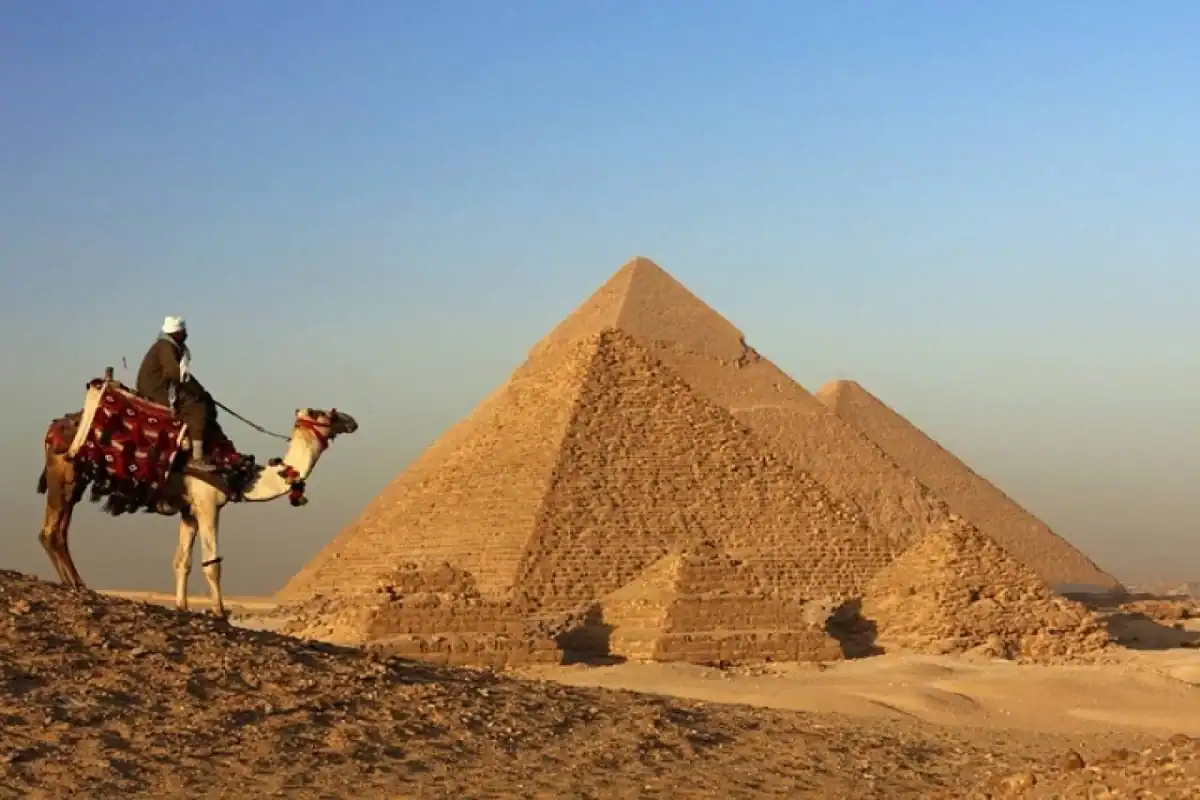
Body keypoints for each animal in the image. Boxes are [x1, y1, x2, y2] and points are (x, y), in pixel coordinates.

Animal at [36, 374, 359, 619]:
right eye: (323, 413)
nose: (351, 420)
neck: (239, 474)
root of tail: (54, 426)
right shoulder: (207, 506)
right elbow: (212, 563)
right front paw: (220, 613)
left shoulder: (189, 511)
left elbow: (182, 561)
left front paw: (182, 606)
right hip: (65, 472)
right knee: (52, 531)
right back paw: (78, 584)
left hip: (74, 477)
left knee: (57, 529)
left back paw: (74, 583)